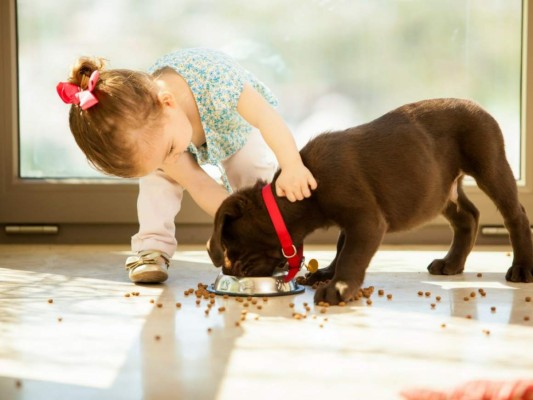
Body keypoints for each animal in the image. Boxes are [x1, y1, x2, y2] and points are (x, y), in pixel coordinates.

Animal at [205, 98, 532, 304]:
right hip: (440, 190)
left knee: (514, 214)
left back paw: (522, 268)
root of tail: (477, 105)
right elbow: (341, 247)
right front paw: (327, 273)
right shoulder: (351, 221)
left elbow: (351, 254)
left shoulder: (366, 220)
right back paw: (452, 263)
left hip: (489, 164)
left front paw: (338, 287)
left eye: (230, 246)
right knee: (469, 216)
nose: (229, 271)